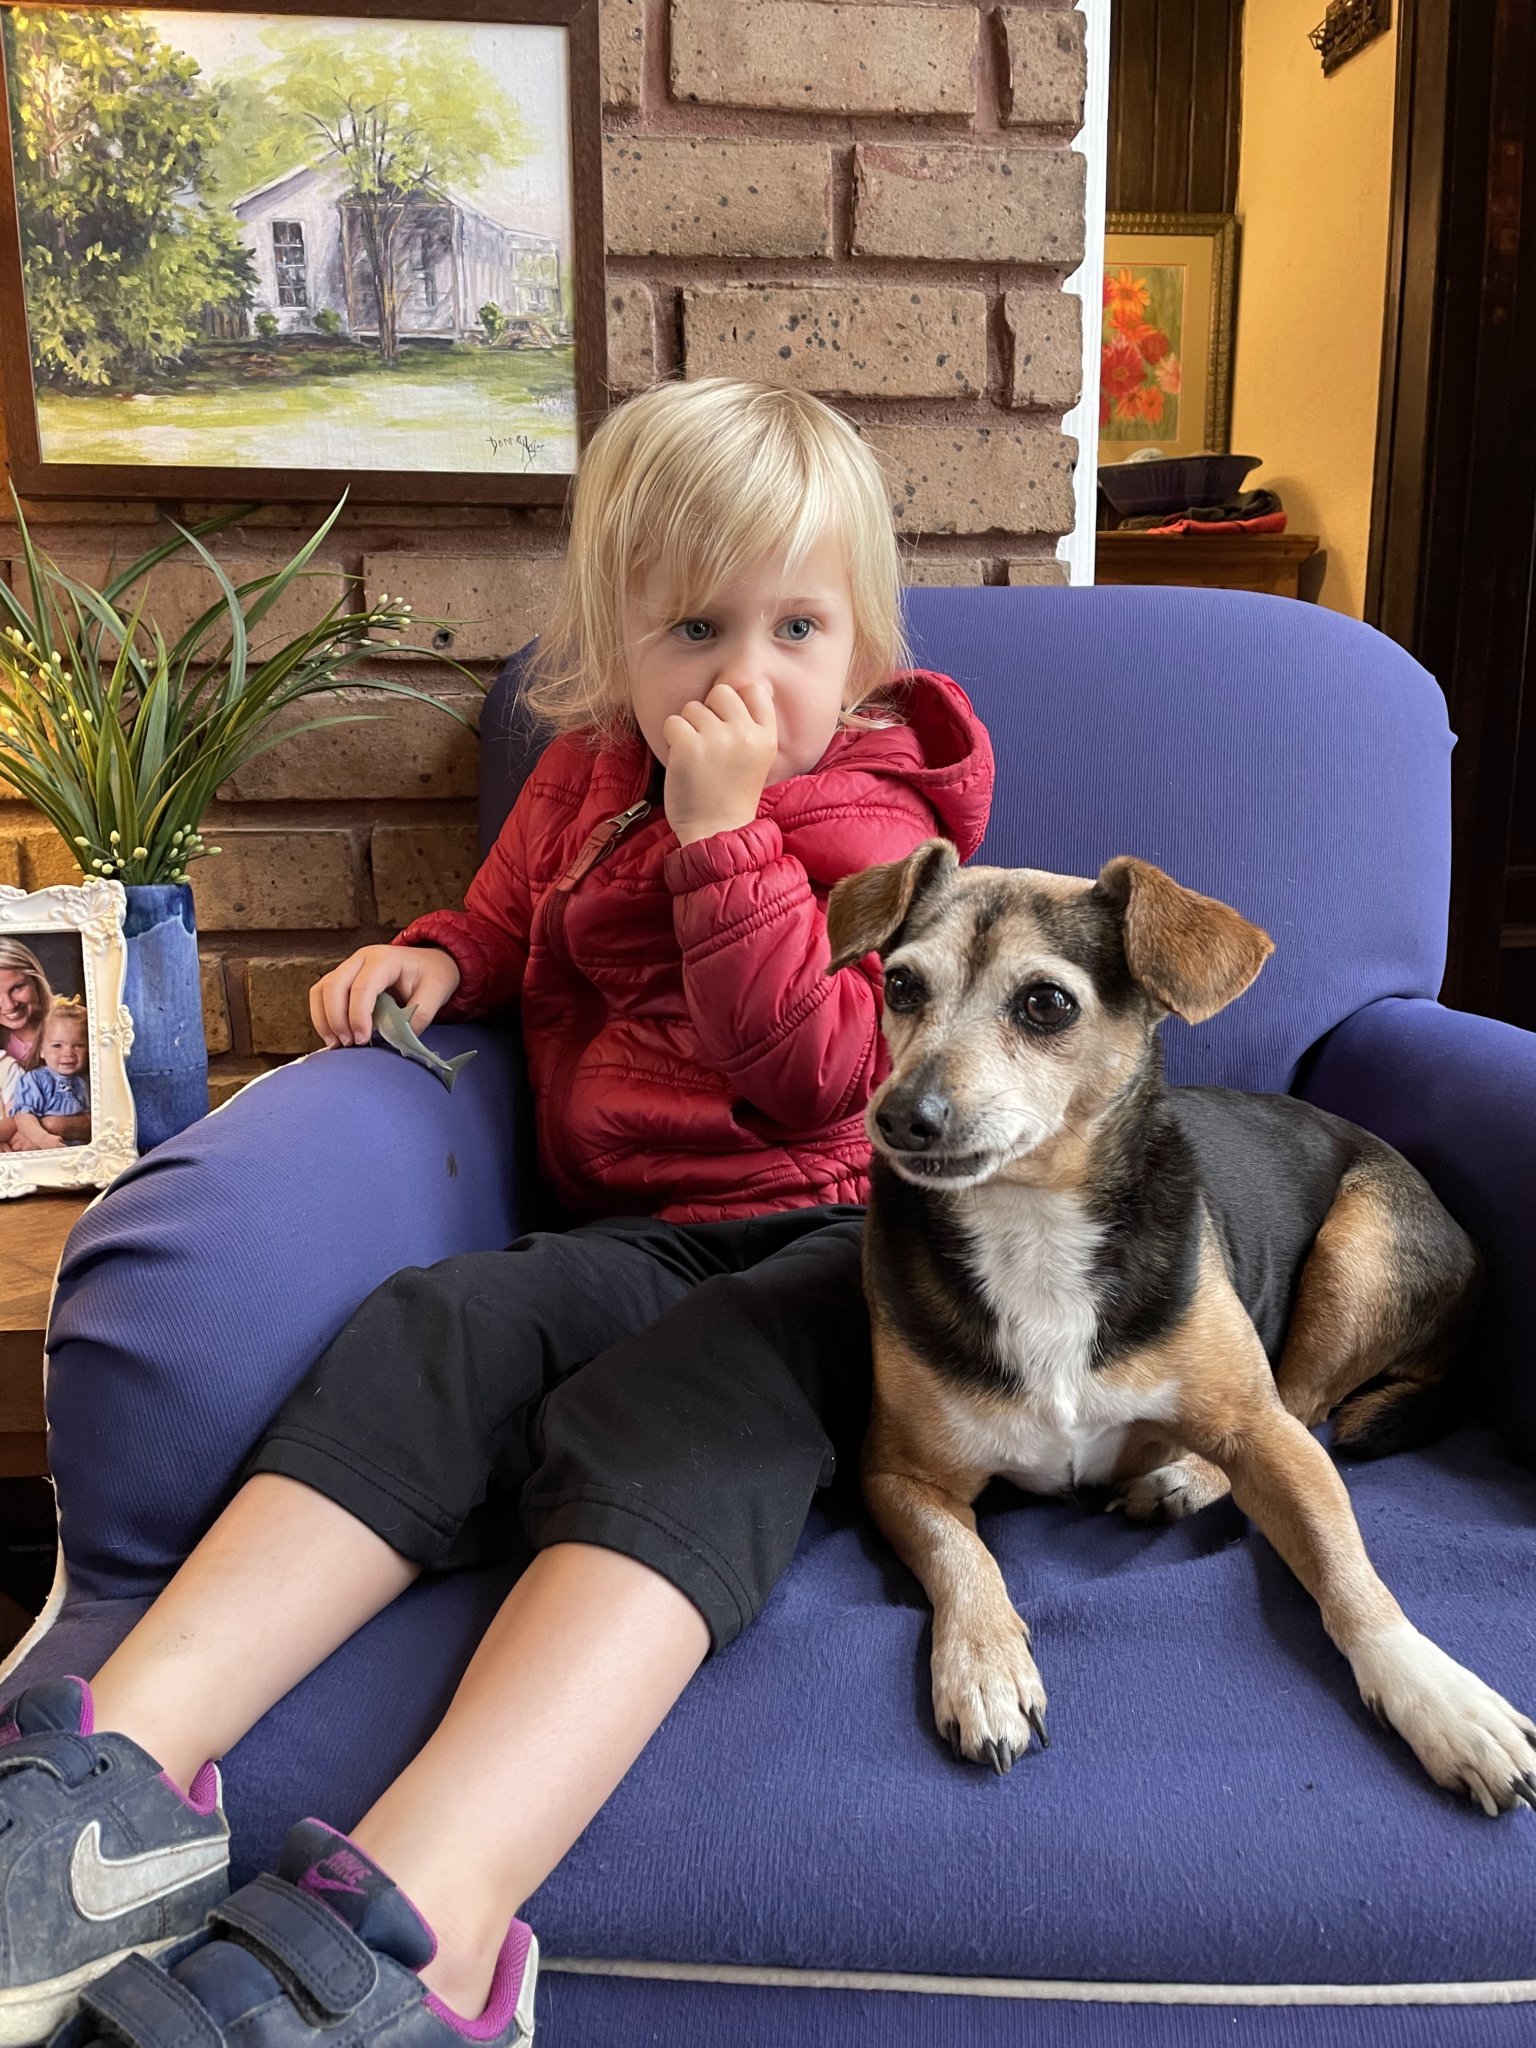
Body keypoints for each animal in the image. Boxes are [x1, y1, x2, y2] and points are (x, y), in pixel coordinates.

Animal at [826, 841, 1536, 1815]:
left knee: (1306, 1402)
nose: (900, 1116)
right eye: (899, 985)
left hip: (1357, 1253)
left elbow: (1349, 1575)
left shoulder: (1264, 1432)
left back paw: (1183, 1478)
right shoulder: (897, 1472)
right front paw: (983, 1667)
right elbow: (961, 1554)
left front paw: (1437, 1695)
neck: (1031, 1224)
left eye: (1046, 1003)